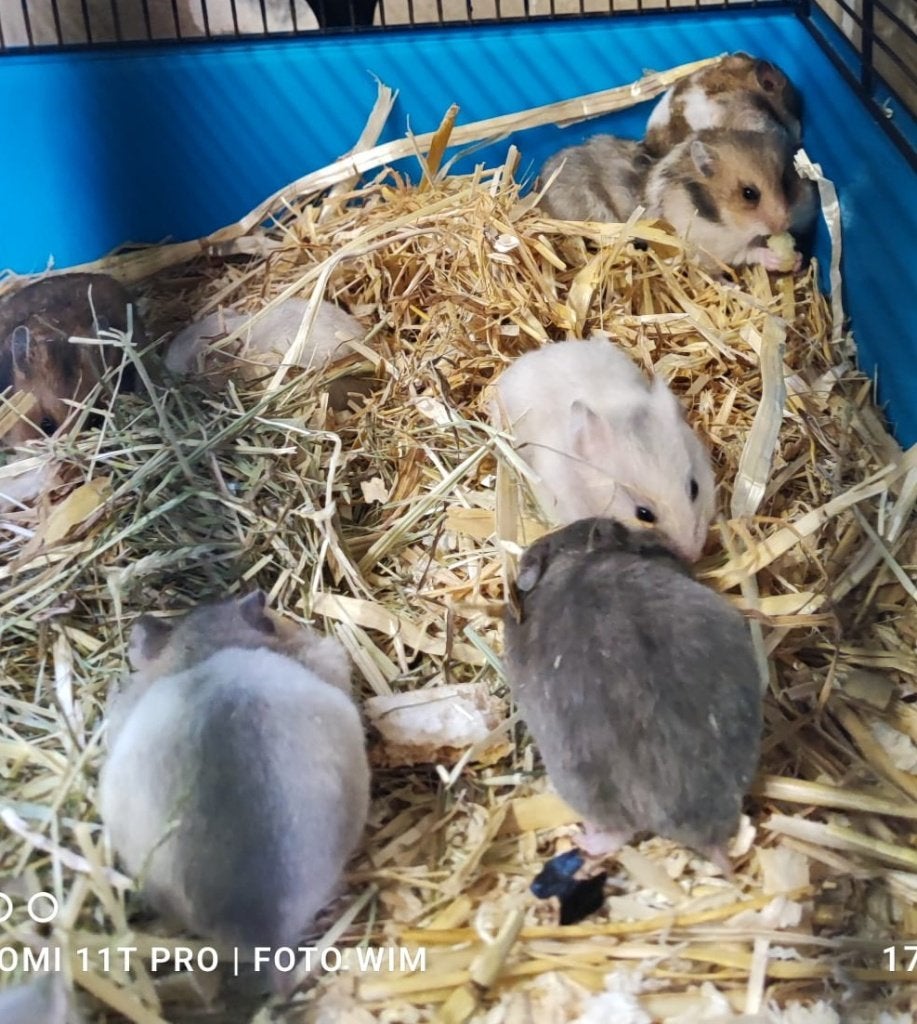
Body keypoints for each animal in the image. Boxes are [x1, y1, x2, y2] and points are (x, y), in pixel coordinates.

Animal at [643, 129, 803, 270]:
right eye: (748, 194)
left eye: (785, 183)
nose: (782, 227)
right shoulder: (721, 247)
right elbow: (749, 253)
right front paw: (774, 259)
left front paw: (798, 259)